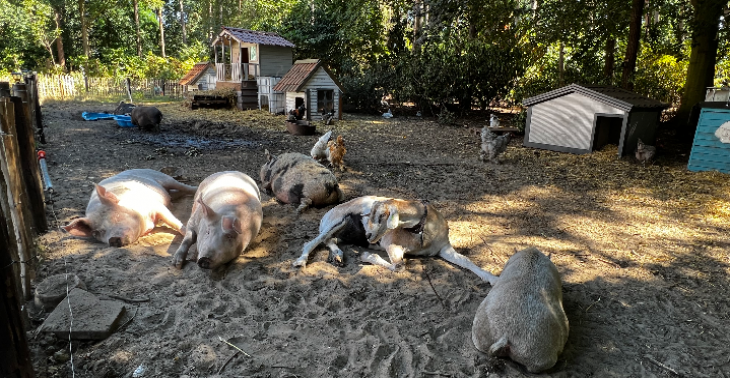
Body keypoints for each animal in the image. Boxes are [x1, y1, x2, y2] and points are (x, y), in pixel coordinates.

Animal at [62, 169, 196, 247]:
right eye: (97, 232)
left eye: (114, 216)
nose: (112, 240)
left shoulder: (156, 206)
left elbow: (173, 222)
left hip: (164, 178)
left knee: (182, 186)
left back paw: (194, 189)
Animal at [292, 195, 498, 284]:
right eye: (369, 214)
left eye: (379, 215)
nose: (368, 236)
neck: (422, 235)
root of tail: (327, 214)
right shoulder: (391, 245)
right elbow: (399, 266)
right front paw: (367, 256)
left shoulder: (444, 248)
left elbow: (467, 261)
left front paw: (493, 279)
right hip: (337, 222)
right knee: (314, 241)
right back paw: (301, 261)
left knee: (330, 241)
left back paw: (338, 256)